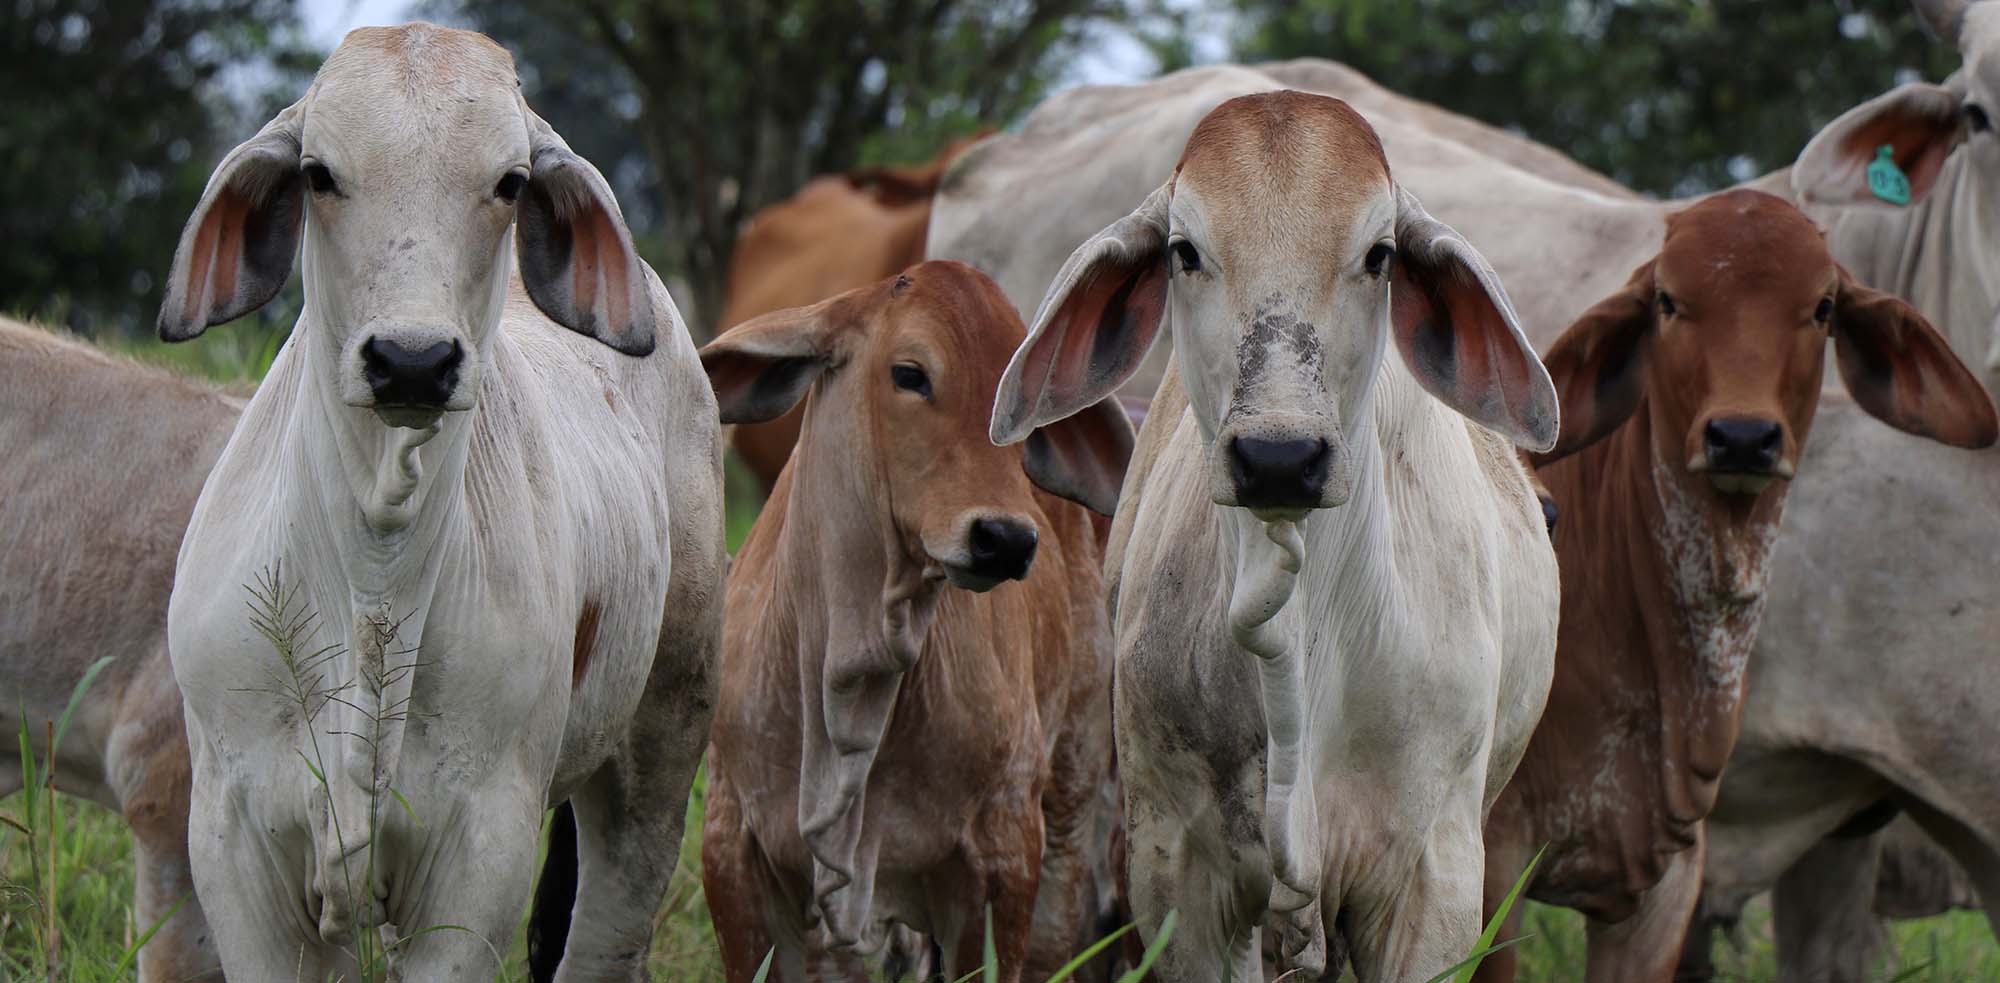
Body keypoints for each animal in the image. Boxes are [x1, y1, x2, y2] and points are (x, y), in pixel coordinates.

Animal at [153, 24, 724, 979]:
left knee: (607, 927)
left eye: (511, 182)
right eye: (318, 174)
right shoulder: (235, 847)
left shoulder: (480, 859)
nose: (413, 362)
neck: (374, 571)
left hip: (660, 742)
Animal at [696, 260, 1132, 982]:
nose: (1006, 539)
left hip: (1071, 788)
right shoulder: (734, 847)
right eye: (910, 373)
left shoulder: (1002, 854)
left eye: (1024, 400)